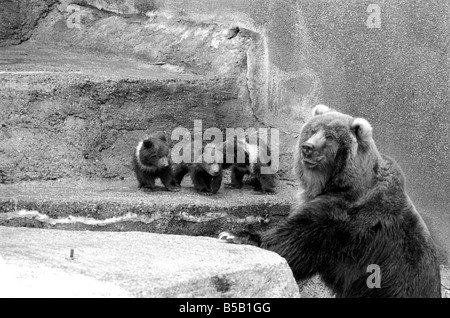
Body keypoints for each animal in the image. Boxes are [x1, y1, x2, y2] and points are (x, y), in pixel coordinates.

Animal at [220, 105, 442, 298]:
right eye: (312, 130)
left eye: (330, 136)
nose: (307, 147)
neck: (337, 182)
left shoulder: (347, 218)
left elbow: (296, 242)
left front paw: (234, 235)